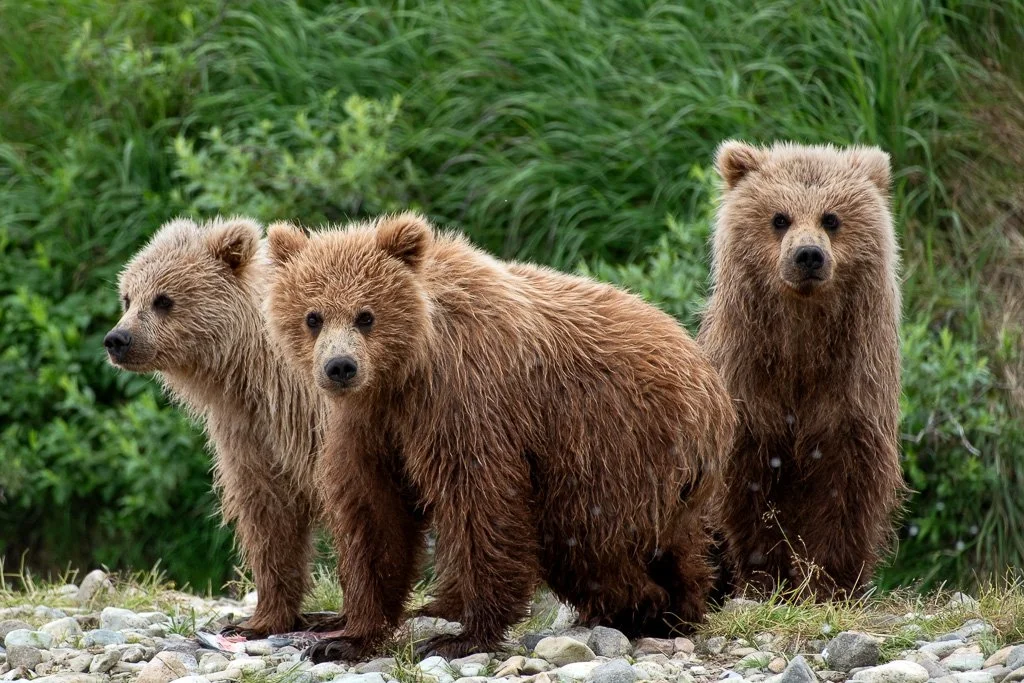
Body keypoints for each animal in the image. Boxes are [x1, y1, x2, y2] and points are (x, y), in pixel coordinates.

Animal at [105, 216, 342, 636]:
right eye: (128, 297)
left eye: (163, 299)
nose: (117, 339)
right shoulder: (251, 434)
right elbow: (268, 517)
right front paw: (259, 619)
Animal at [262, 212, 737, 662]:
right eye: (313, 317)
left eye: (366, 315)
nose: (340, 366)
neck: (406, 371)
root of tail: (711, 380)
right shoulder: (369, 425)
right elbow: (374, 516)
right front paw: (347, 637)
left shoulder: (467, 399)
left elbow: (481, 501)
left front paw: (460, 637)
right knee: (663, 542)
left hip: (613, 441)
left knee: (586, 540)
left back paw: (647, 607)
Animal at [698, 141, 905, 599]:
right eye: (780, 218)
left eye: (831, 218)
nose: (808, 255)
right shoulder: (750, 386)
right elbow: (750, 492)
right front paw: (765, 579)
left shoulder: (850, 391)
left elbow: (844, 490)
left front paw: (829, 584)